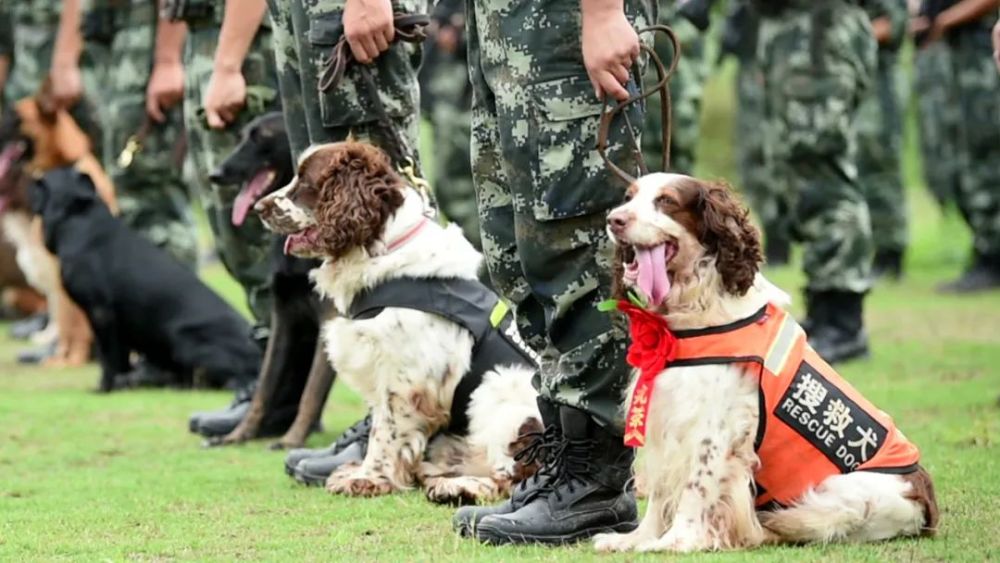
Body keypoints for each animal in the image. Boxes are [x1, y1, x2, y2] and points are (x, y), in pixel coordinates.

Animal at [32, 167, 262, 392]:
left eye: (38, 183)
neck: (78, 219)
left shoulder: (100, 312)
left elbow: (109, 358)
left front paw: (105, 387)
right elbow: (121, 358)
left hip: (183, 339)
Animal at [191, 112, 336, 450]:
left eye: (261, 138)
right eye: (241, 137)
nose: (215, 174)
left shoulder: (328, 319)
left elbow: (311, 392)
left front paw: (292, 439)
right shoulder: (283, 317)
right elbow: (264, 387)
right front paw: (238, 434)